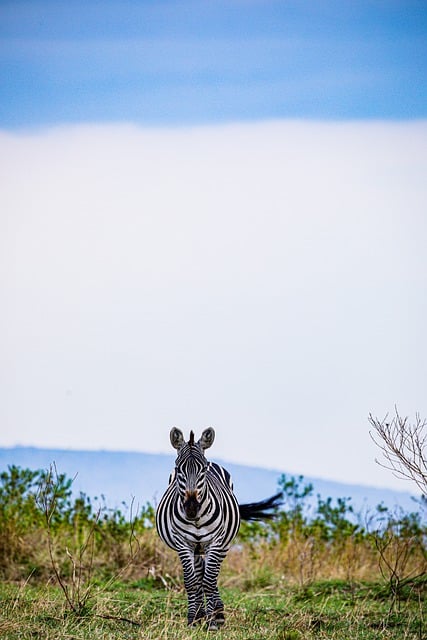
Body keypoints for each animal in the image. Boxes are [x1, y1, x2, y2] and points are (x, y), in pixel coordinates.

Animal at [155, 428, 282, 628]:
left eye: (203, 470)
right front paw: (193, 618)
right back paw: (201, 613)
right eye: (178, 469)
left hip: (223, 544)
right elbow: (191, 582)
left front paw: (213, 621)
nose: (191, 508)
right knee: (200, 574)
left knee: (212, 576)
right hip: (196, 547)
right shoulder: (183, 543)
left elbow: (209, 580)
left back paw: (218, 613)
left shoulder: (216, 542)